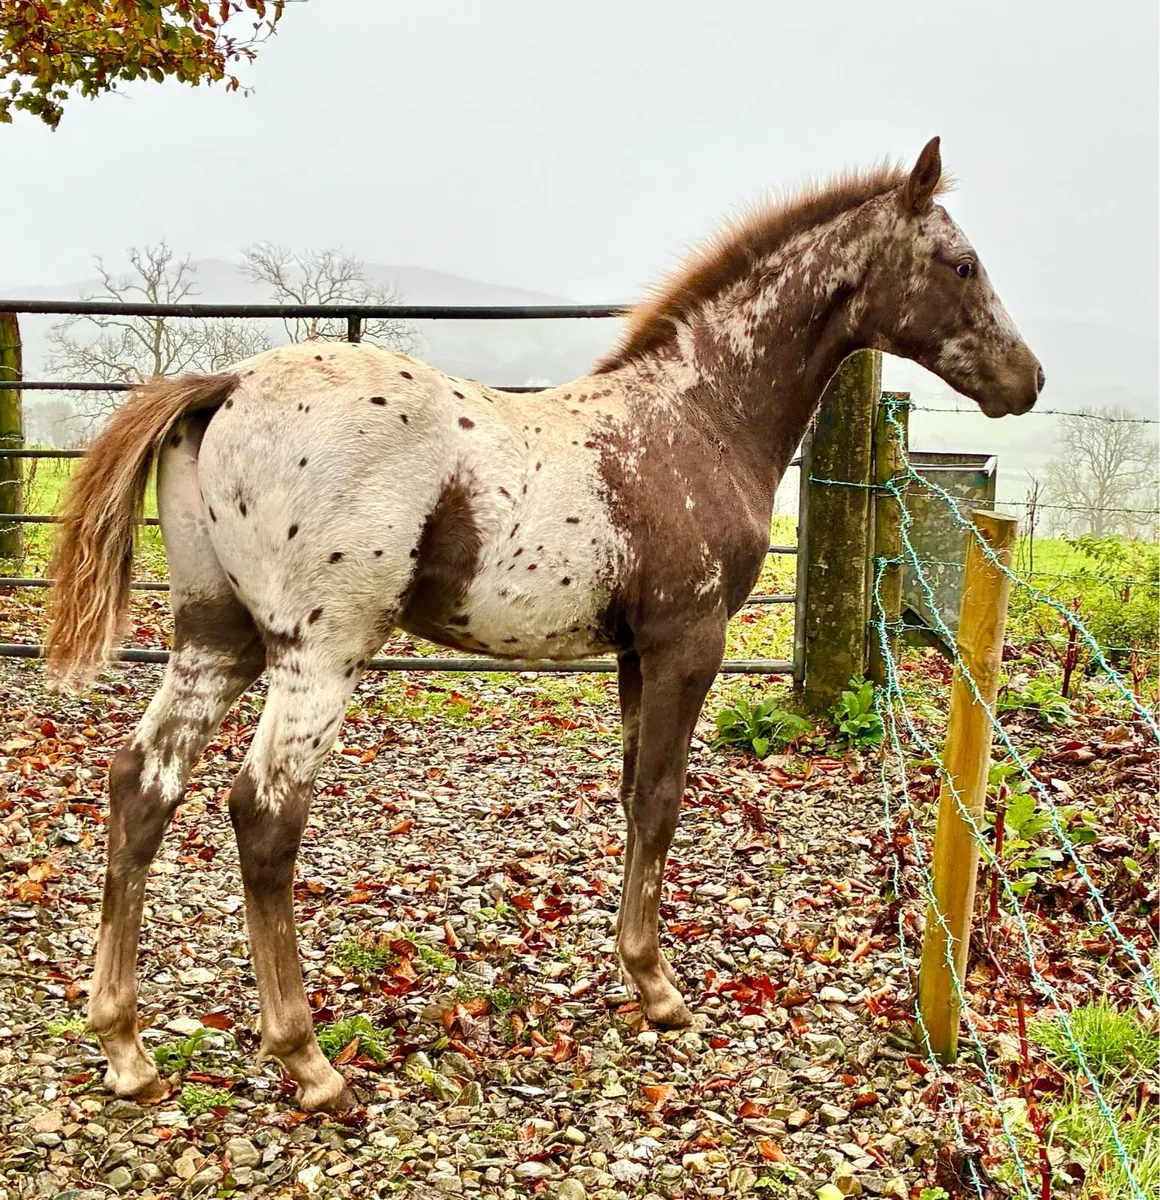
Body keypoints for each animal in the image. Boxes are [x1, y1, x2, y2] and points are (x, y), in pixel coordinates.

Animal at [45, 138, 1042, 1112]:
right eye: (962, 262)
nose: (1026, 381)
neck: (698, 415)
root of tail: (227, 383)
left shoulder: (638, 654)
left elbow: (633, 795)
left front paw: (635, 971)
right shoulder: (689, 644)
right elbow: (662, 800)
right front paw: (660, 989)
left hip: (217, 638)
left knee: (143, 782)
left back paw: (126, 1048)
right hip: (318, 654)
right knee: (264, 811)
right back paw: (308, 1060)